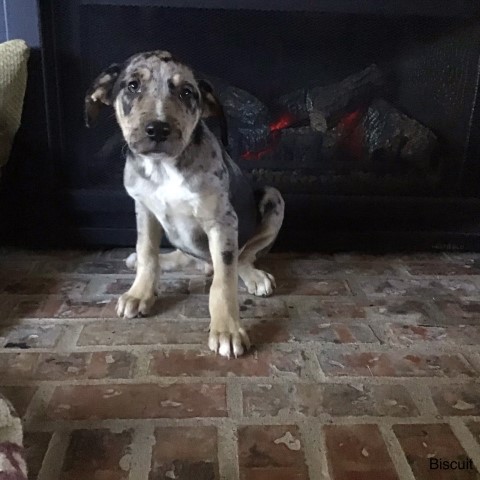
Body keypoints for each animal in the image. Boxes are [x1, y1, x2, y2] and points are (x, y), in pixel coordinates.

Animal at [84, 50, 284, 358]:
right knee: (188, 258)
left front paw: (226, 329)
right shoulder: (143, 209)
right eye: (132, 86)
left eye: (187, 92)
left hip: (273, 197)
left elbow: (224, 281)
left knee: (242, 257)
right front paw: (140, 293)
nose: (157, 129)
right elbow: (147, 252)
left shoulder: (222, 222)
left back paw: (253, 276)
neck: (163, 168)